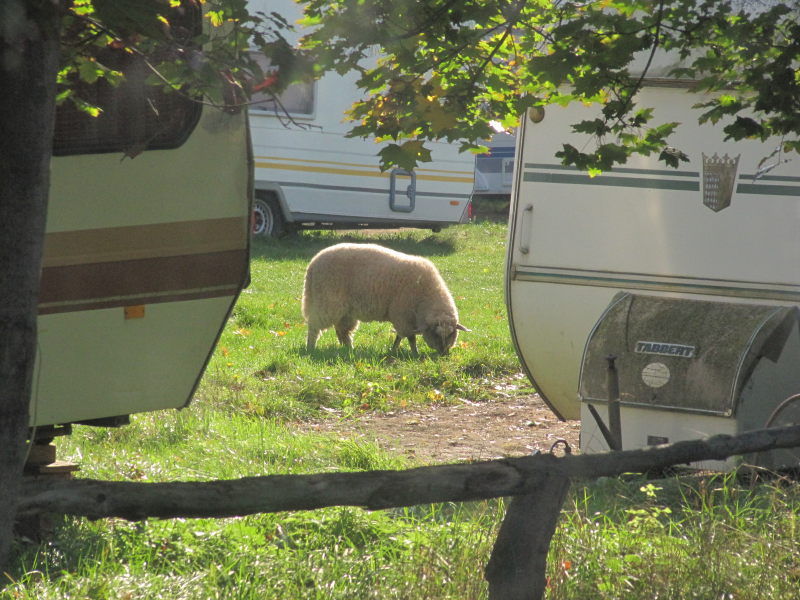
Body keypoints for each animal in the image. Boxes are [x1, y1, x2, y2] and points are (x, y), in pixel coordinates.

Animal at [304, 243, 472, 356]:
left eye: (452, 334)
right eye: (436, 334)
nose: (444, 353)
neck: (426, 296)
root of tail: (313, 262)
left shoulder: (405, 318)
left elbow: (400, 336)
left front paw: (395, 350)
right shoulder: (402, 316)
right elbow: (409, 337)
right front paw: (413, 353)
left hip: (347, 311)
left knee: (343, 331)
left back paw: (349, 349)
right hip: (327, 301)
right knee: (314, 326)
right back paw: (311, 347)